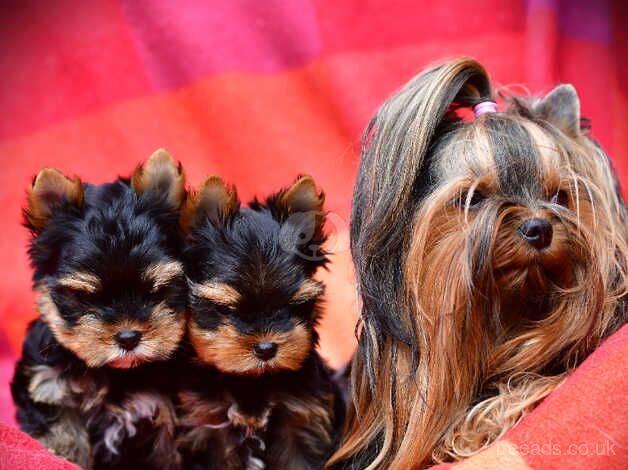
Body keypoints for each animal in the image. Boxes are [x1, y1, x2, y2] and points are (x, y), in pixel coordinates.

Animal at [12, 151, 188, 470]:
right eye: (85, 297)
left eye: (156, 290)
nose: (128, 338)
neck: (114, 372)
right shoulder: (50, 388)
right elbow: (62, 438)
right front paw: (63, 456)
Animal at [177, 175, 344, 470]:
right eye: (226, 308)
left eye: (294, 305)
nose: (266, 349)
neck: (251, 380)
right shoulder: (207, 424)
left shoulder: (302, 418)